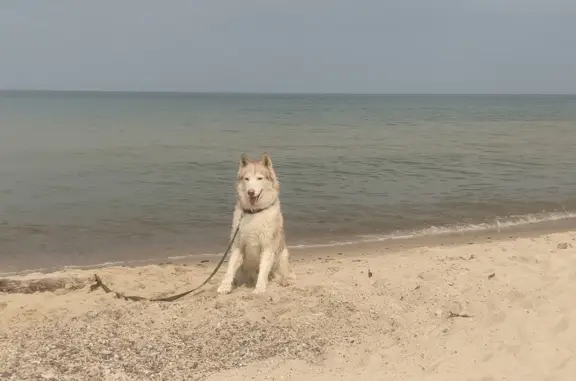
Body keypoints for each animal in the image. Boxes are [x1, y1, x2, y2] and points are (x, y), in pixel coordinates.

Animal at [218, 151, 294, 294]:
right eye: (246, 179)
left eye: (259, 178)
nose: (251, 192)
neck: (255, 212)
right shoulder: (237, 245)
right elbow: (230, 269)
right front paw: (225, 286)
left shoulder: (268, 246)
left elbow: (263, 270)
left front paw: (259, 289)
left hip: (283, 254)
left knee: (285, 272)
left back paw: (284, 280)